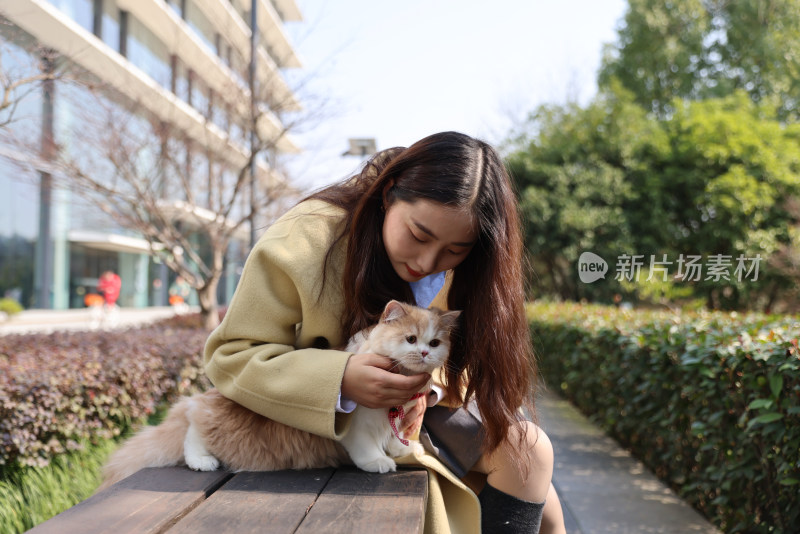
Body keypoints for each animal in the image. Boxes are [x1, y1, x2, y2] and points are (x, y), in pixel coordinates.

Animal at [99, 302, 460, 490]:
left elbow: (398, 433)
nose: (425, 353)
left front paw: (402, 446)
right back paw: (202, 460)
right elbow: (367, 447)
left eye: (435, 342)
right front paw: (379, 461)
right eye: (411, 339)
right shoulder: (357, 427)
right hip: (214, 420)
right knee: (192, 431)